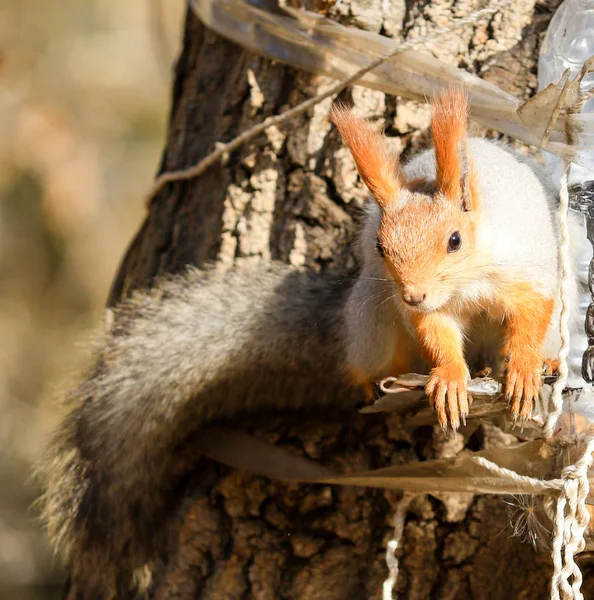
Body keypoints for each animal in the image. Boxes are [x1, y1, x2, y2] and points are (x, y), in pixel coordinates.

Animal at [35, 88, 580, 596]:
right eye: (381, 246)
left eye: (453, 240)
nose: (414, 292)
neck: (467, 278)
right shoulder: (424, 311)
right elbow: (438, 336)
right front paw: (448, 379)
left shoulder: (528, 274)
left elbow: (530, 315)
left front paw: (524, 368)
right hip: (372, 311)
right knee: (375, 360)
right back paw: (385, 383)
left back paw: (536, 366)